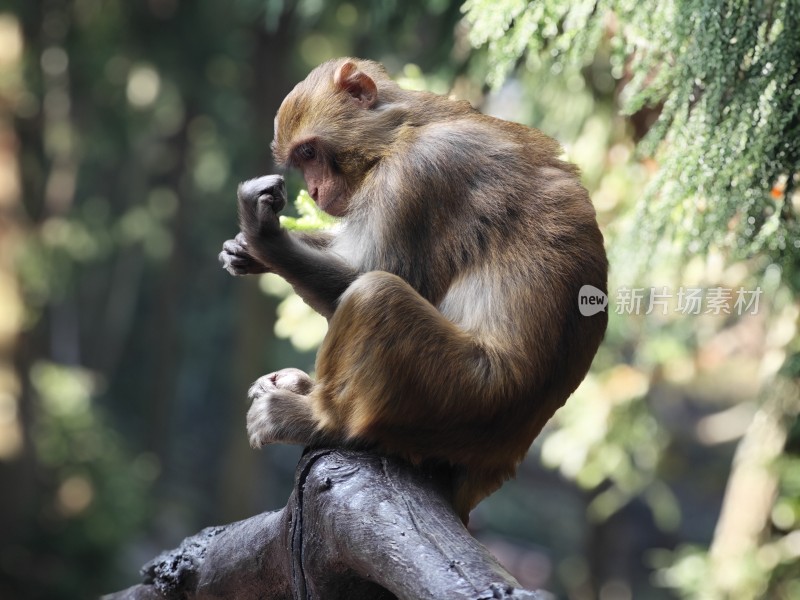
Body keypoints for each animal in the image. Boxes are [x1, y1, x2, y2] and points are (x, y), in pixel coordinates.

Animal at [219, 59, 608, 520]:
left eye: (310, 153)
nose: (313, 191)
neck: (400, 131)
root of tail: (499, 459)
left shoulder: (420, 173)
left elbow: (367, 275)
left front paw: (262, 235)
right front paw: (245, 249)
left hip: (455, 396)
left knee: (376, 295)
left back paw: (321, 418)